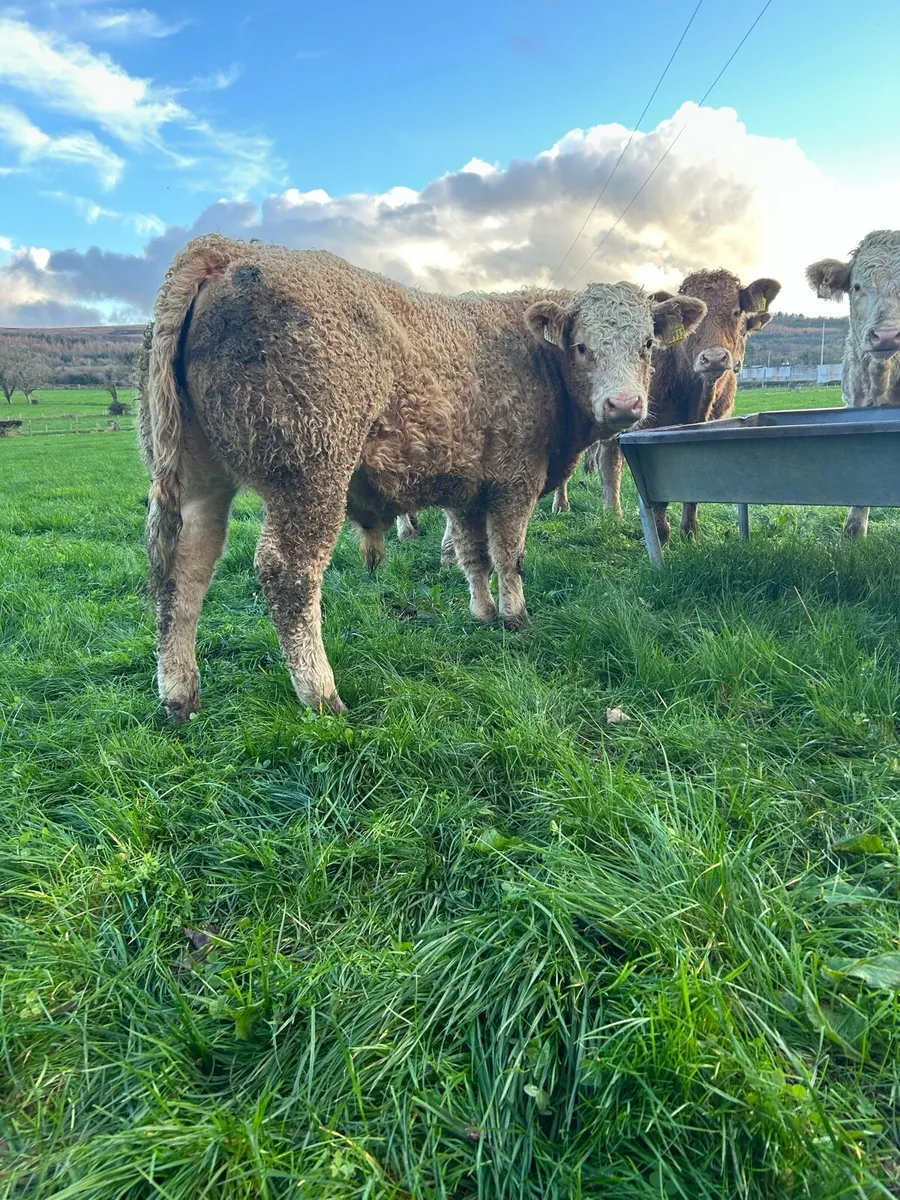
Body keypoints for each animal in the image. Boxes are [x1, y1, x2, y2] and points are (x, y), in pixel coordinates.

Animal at [139, 234, 706, 717]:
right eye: (583, 346)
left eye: (648, 344)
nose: (625, 405)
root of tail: (226, 250)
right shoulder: (515, 480)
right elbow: (510, 555)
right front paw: (516, 617)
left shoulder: (468, 488)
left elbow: (474, 555)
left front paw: (483, 613)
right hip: (310, 470)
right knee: (288, 572)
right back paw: (321, 694)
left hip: (196, 474)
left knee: (183, 567)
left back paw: (179, 694)